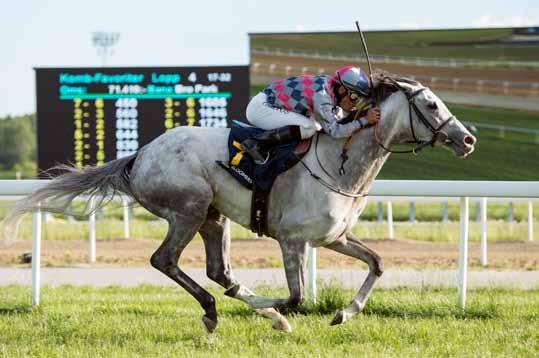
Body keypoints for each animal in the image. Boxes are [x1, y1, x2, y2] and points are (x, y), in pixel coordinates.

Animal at [5, 75, 476, 332]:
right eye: (431, 104)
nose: (468, 138)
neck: (339, 163)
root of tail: (139, 155)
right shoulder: (292, 241)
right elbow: (295, 297)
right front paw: (279, 312)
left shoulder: (333, 238)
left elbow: (377, 263)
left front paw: (345, 313)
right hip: (189, 209)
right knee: (165, 261)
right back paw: (215, 312)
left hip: (214, 216)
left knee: (219, 271)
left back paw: (234, 308)